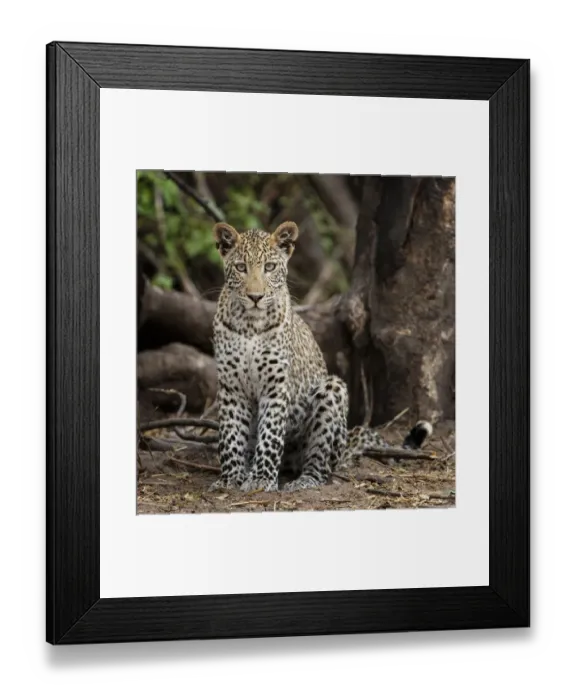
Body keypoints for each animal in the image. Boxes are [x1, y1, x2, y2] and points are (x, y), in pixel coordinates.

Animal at [209, 220, 432, 493]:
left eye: (269, 267)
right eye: (241, 267)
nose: (255, 297)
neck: (250, 324)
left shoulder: (276, 387)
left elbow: (270, 434)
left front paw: (262, 480)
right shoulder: (231, 387)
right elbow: (230, 435)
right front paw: (231, 478)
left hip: (332, 391)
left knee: (321, 464)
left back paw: (303, 480)